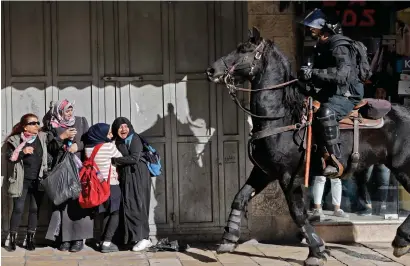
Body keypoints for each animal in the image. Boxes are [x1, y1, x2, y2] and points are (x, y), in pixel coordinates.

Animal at [207, 26, 410, 264]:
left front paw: (317, 251)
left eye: (243, 49)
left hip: (403, 168)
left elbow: (298, 213)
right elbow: (239, 198)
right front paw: (228, 239)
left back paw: (401, 240)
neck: (279, 117)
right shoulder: (263, 172)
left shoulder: (289, 177)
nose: (211, 70)